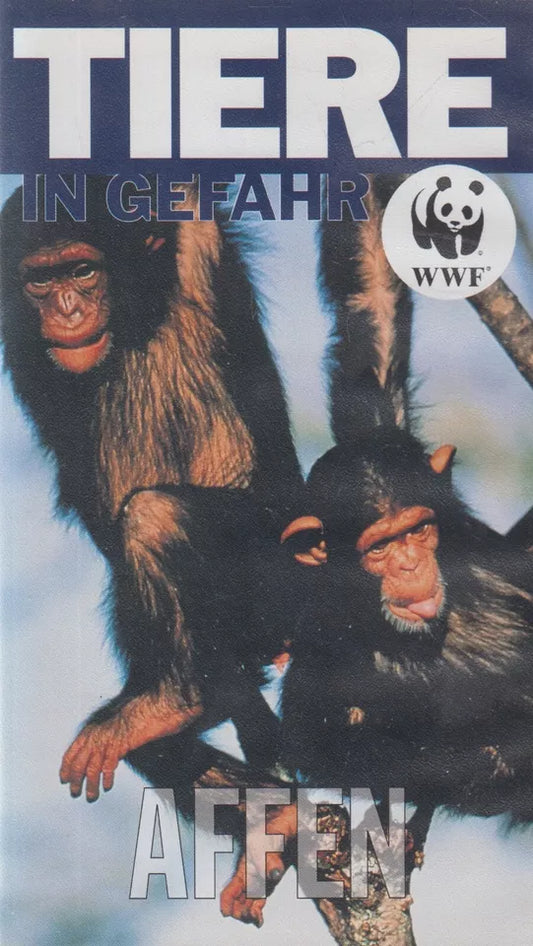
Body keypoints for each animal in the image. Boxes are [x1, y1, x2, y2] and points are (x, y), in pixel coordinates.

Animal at [0, 177, 304, 802]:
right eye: (41, 280)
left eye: (82, 270)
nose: (67, 308)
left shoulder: (196, 232)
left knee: (154, 516)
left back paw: (170, 702)